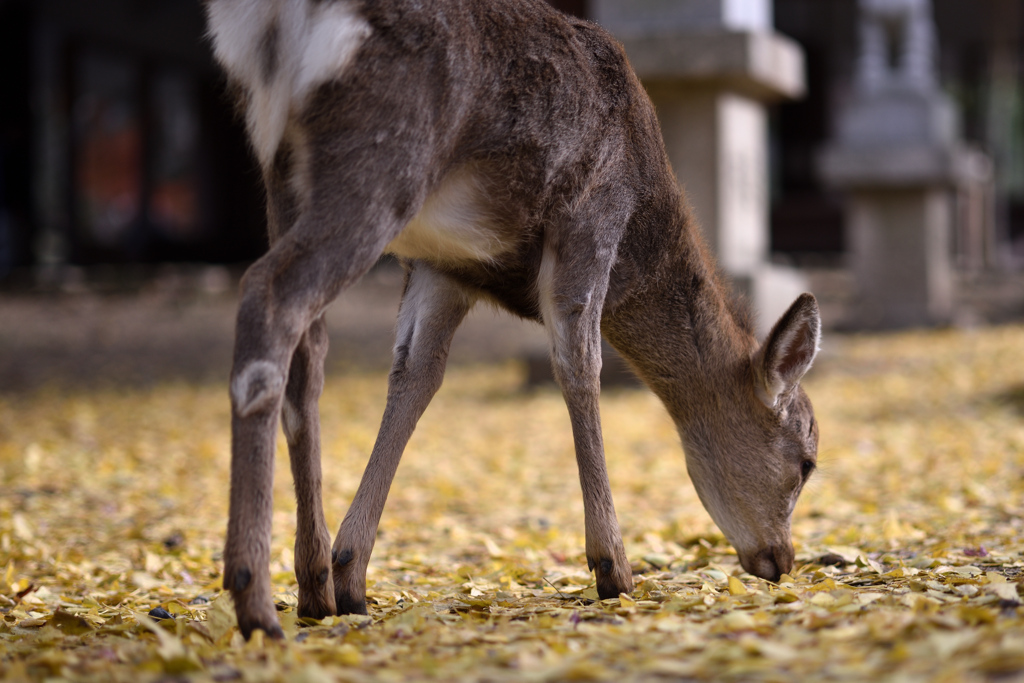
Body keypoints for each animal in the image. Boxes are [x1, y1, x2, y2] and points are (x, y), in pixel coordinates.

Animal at [203, 0, 819, 643]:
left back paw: (311, 584)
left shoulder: (444, 266)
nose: (783, 560)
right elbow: (580, 363)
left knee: (308, 355)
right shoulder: (591, 216)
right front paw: (613, 568)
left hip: (279, 170)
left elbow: (415, 377)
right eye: (807, 462)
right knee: (271, 294)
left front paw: (351, 573)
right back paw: (254, 599)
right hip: (383, 152)